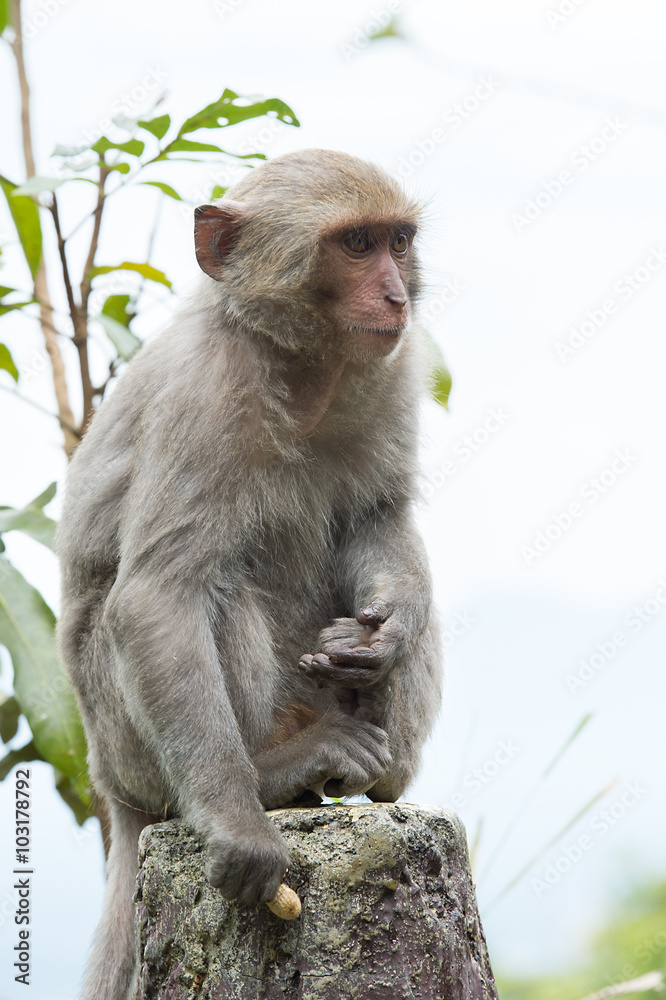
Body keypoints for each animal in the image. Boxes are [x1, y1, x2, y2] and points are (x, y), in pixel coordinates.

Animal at [57, 150, 440, 1000]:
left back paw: (386, 769)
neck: (302, 365)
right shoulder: (203, 393)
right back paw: (273, 775)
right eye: (355, 244)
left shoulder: (395, 363)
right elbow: (159, 595)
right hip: (131, 744)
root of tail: (110, 789)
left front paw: (383, 635)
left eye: (397, 241)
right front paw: (239, 826)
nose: (396, 294)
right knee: (215, 588)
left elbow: (381, 517)